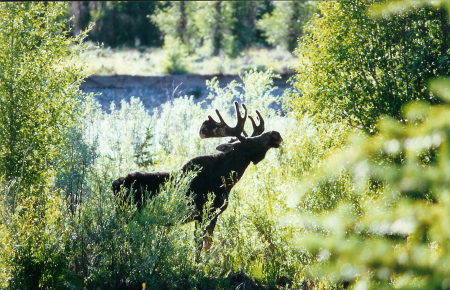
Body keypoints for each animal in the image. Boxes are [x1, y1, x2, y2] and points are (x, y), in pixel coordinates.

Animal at [111, 102, 282, 251]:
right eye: (249, 141)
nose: (276, 134)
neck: (225, 179)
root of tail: (113, 185)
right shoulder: (203, 214)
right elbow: (199, 246)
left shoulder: (212, 215)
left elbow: (207, 244)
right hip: (127, 213)